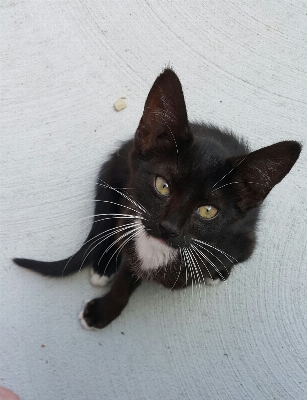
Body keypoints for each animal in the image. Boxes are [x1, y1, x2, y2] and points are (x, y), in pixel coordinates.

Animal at [13, 69, 302, 330]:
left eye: (208, 211)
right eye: (162, 185)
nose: (168, 227)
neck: (159, 251)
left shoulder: (244, 241)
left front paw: (219, 271)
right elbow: (124, 279)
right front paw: (105, 310)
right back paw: (104, 266)